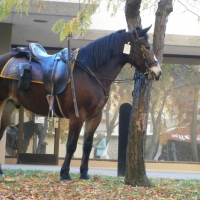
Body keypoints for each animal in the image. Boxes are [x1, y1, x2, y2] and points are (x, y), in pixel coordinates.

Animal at [0, 25, 160, 180]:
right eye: (146, 47)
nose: (157, 72)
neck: (91, 73)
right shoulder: (77, 116)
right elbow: (71, 145)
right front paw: (65, 173)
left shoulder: (95, 117)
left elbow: (87, 145)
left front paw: (84, 173)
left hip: (8, 106)